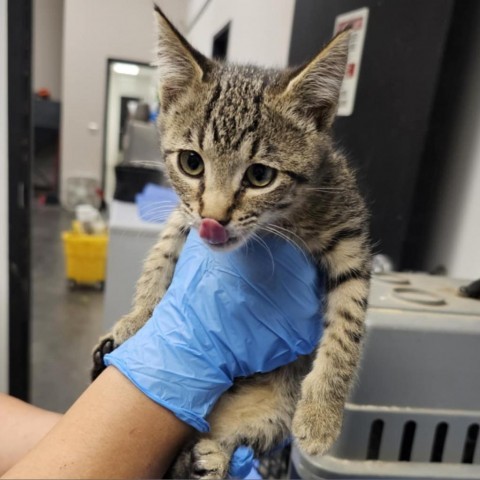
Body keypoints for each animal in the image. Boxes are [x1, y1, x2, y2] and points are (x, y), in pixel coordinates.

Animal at [94, 5, 372, 478]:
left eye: (260, 175)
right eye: (191, 163)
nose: (213, 219)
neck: (283, 217)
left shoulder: (351, 237)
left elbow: (348, 324)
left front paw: (321, 413)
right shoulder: (181, 215)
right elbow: (161, 256)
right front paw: (137, 319)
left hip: (272, 408)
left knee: (236, 434)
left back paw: (213, 457)